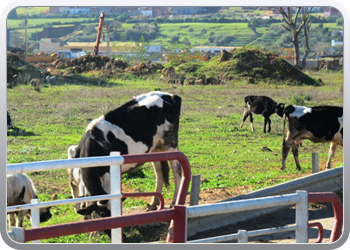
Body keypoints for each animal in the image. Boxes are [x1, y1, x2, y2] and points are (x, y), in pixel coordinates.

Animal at [70, 91, 180, 223]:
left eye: (106, 214)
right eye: (99, 215)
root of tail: (169, 95)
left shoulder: (109, 173)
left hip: (171, 143)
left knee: (177, 172)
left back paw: (174, 203)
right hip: (155, 148)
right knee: (159, 173)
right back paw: (153, 204)